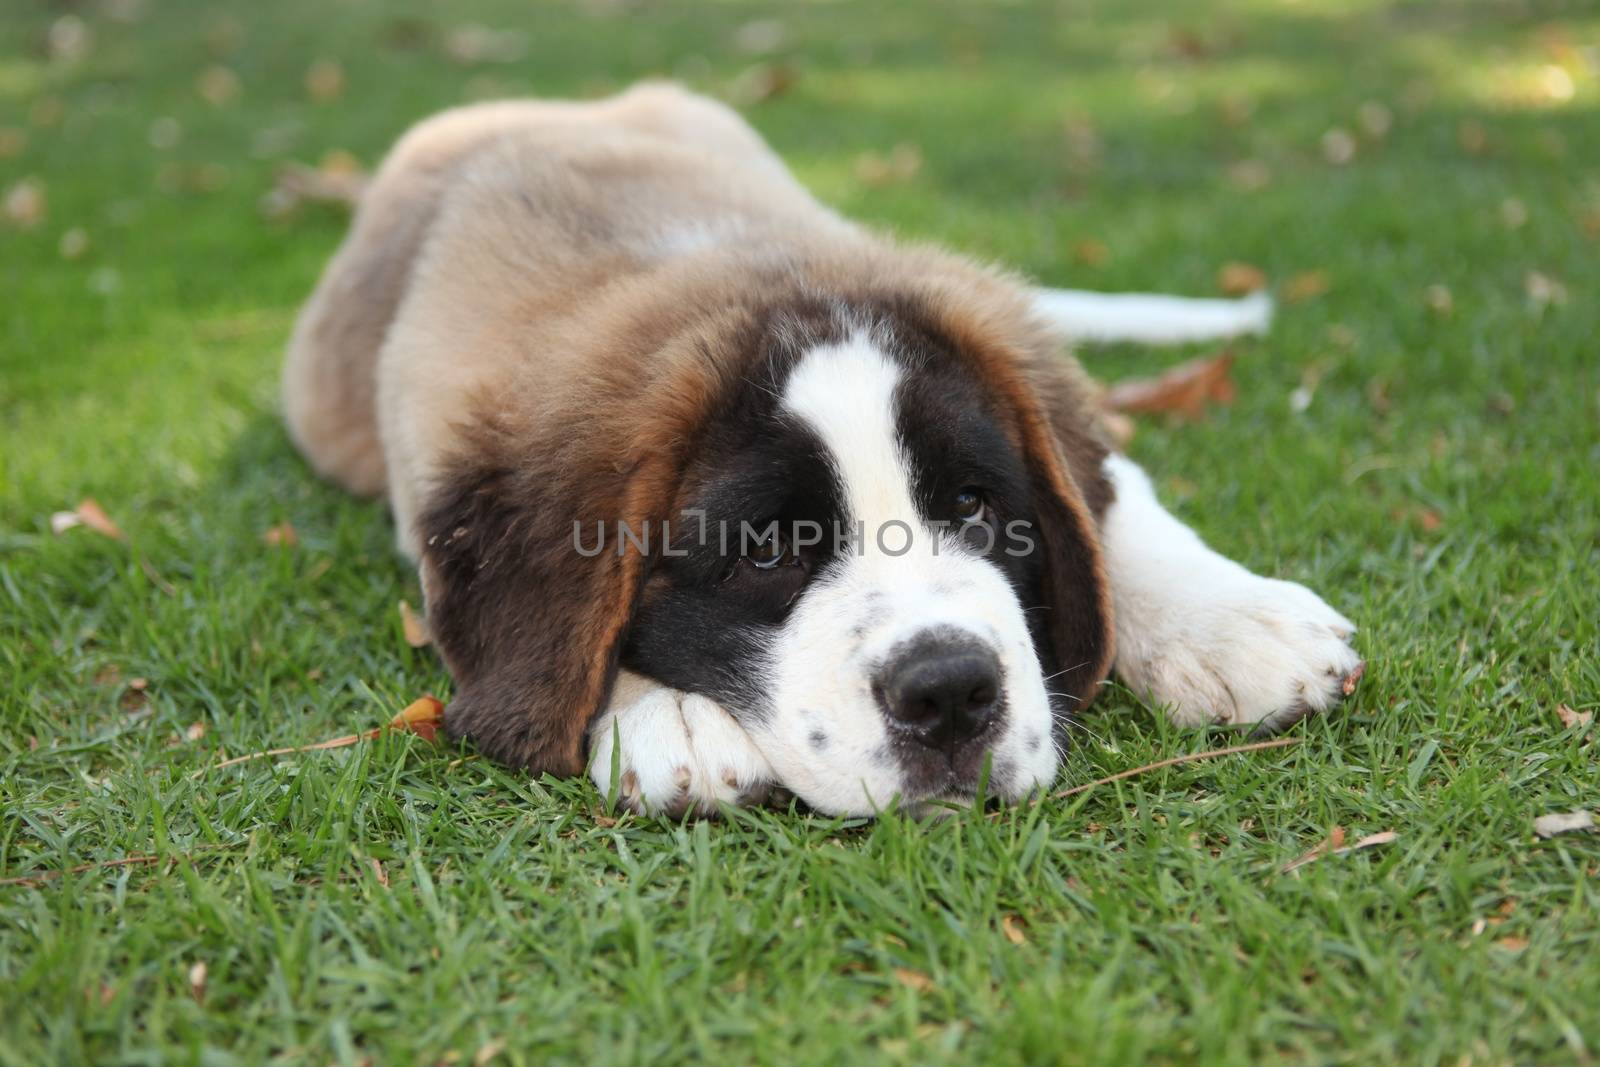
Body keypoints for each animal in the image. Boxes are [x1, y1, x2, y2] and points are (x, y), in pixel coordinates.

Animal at [284, 83, 1363, 819]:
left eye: (972, 506)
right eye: (766, 550)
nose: (950, 690)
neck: (724, 265)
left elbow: (1111, 498)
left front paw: (1229, 621)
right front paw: (661, 711)